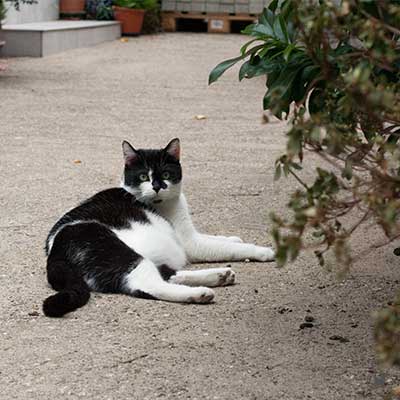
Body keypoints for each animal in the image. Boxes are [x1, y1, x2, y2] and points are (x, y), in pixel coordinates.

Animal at [43, 139, 276, 318]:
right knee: (148, 284)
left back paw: (219, 276)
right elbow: (229, 248)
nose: (157, 187)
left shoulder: (189, 236)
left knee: (167, 273)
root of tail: (55, 252)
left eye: (166, 174)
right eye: (143, 177)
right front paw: (263, 251)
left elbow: (218, 239)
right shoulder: (191, 243)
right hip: (118, 253)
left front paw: (233, 238)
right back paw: (200, 293)